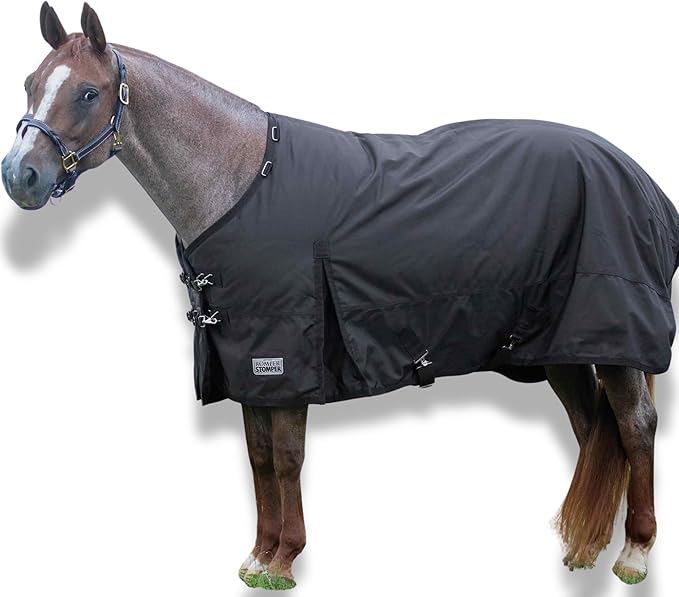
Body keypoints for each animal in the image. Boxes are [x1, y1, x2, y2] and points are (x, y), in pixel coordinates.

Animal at [2, 3, 675, 590]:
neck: (241, 182)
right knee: (592, 428)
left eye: (88, 93)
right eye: (31, 82)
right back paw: (583, 549)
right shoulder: (246, 362)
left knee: (635, 427)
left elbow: (287, 456)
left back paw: (634, 553)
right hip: (560, 345)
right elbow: (258, 458)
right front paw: (258, 556)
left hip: (613, 340)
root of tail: (640, 181)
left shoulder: (284, 359)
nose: (20, 176)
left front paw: (284, 560)